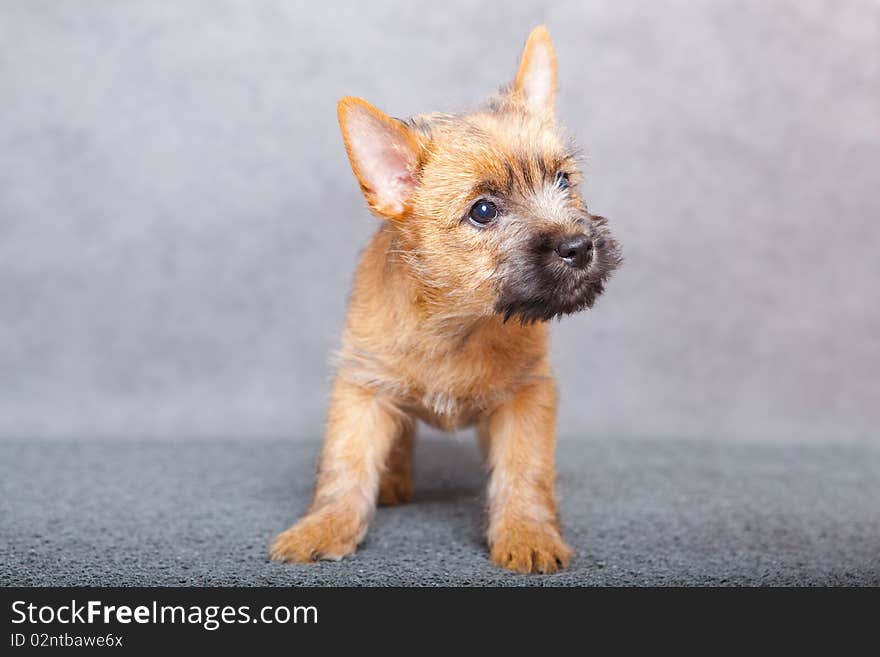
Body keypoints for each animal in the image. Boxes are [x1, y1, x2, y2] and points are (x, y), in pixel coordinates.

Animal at [272, 23, 624, 572]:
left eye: (563, 180)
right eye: (483, 211)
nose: (579, 246)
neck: (458, 323)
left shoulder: (527, 396)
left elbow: (524, 470)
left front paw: (528, 533)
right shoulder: (361, 389)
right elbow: (345, 467)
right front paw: (323, 528)